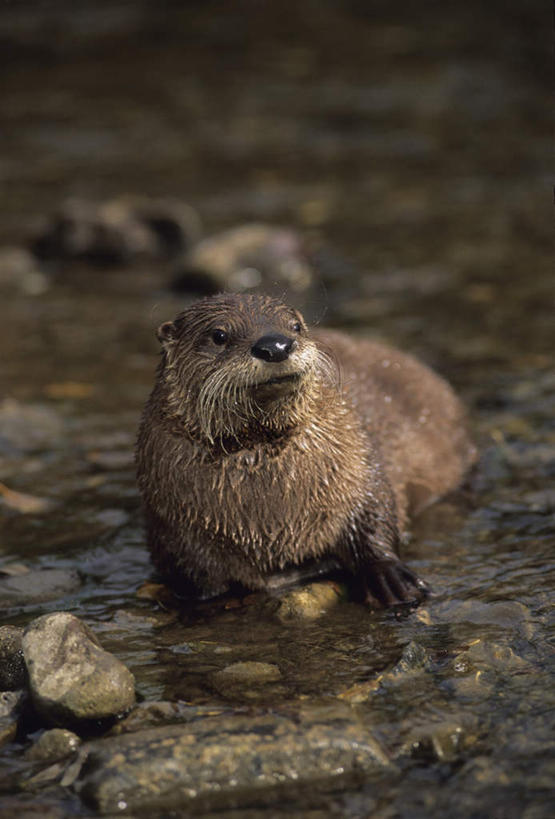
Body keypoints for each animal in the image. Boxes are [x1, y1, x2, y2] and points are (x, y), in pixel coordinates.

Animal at [136, 294, 478, 608]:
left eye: (295, 326)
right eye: (219, 335)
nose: (275, 345)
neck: (269, 514)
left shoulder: (358, 466)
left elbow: (374, 514)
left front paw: (389, 576)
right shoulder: (174, 529)